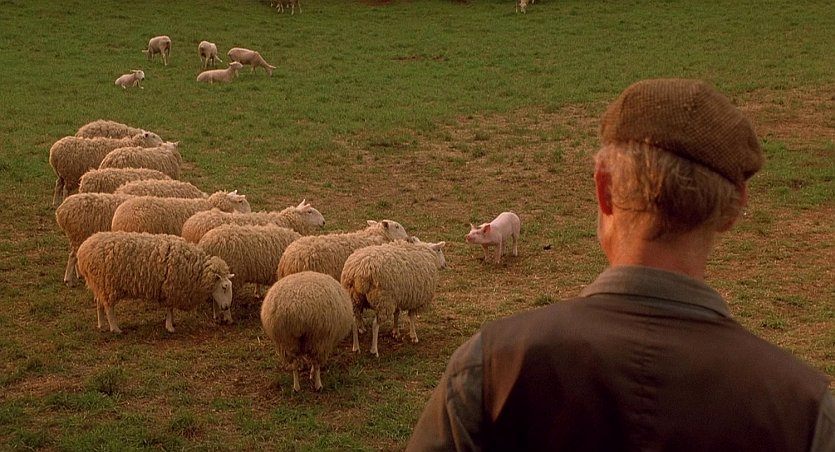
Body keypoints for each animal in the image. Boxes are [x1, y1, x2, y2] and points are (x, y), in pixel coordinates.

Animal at [76, 231, 234, 333]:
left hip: (100, 284)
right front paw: (170, 326)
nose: (226, 307)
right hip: (108, 284)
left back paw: (101, 325)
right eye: (224, 287)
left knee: (99, 303)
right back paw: (115, 329)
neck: (195, 268)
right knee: (109, 308)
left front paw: (170, 323)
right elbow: (170, 308)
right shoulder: (171, 287)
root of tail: (84, 250)